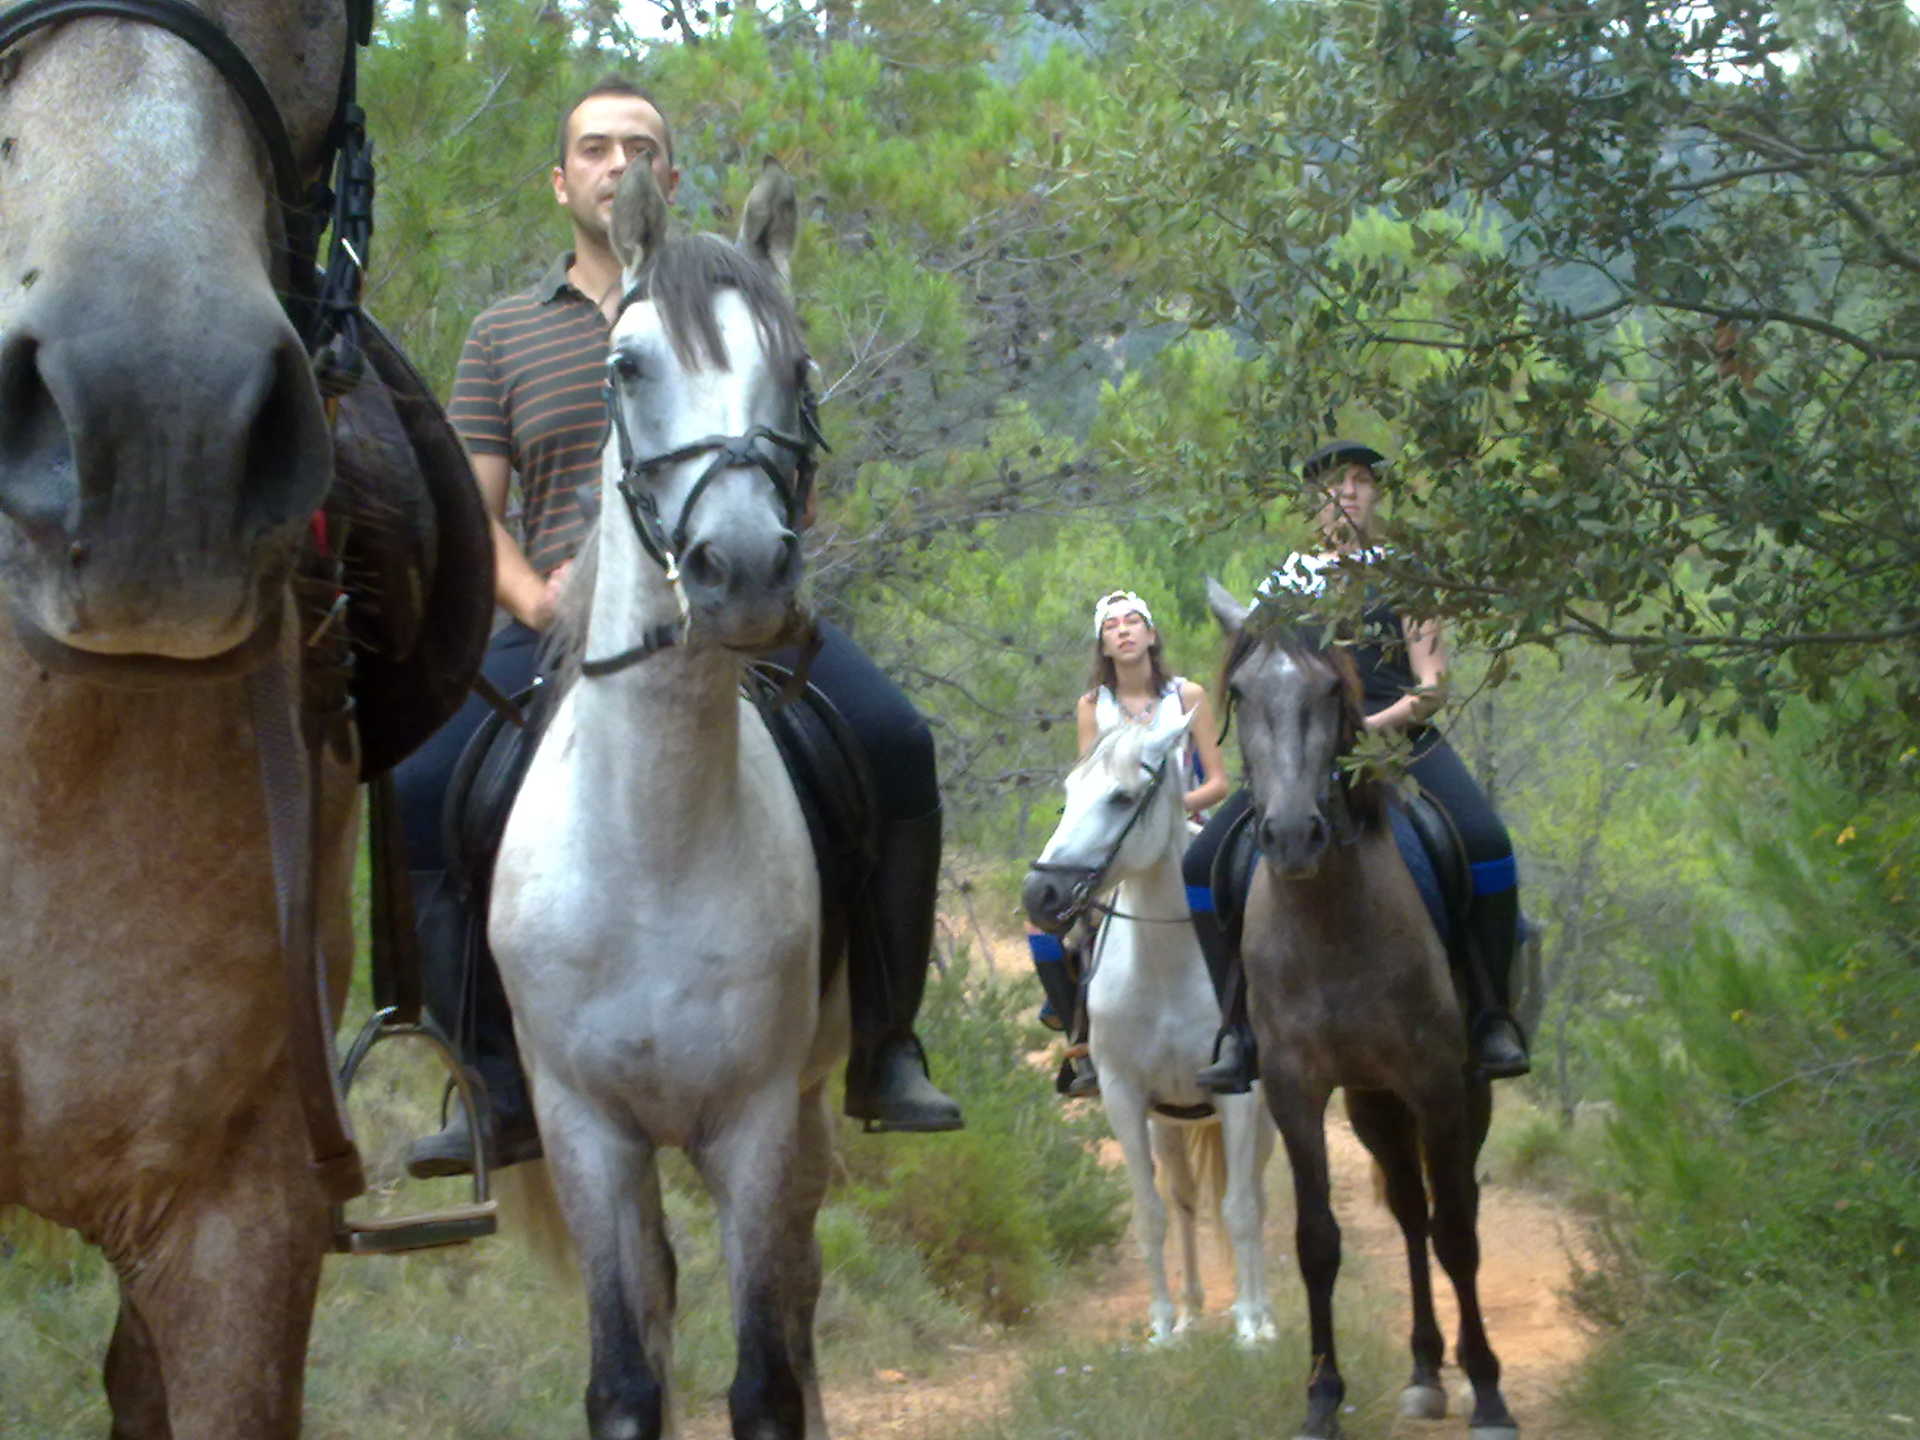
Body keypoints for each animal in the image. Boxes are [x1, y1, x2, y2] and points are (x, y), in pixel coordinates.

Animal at [483, 160, 844, 1440]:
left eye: (796, 365)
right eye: (629, 366)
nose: (742, 571)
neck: (653, 844)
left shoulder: (758, 1124)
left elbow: (765, 1379)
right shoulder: (586, 1131)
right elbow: (627, 1379)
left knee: (798, 1298)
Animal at [1021, 714, 1274, 1351]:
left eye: (1121, 798)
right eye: (1067, 794)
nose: (1040, 895)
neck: (1166, 963)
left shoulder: (1238, 1097)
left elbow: (1239, 1210)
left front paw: (1250, 1328)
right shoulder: (1125, 1095)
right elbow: (1152, 1213)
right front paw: (1162, 1327)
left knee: (1255, 1198)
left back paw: (1263, 1312)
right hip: (1170, 1123)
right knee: (1183, 1200)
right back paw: (1190, 1314)